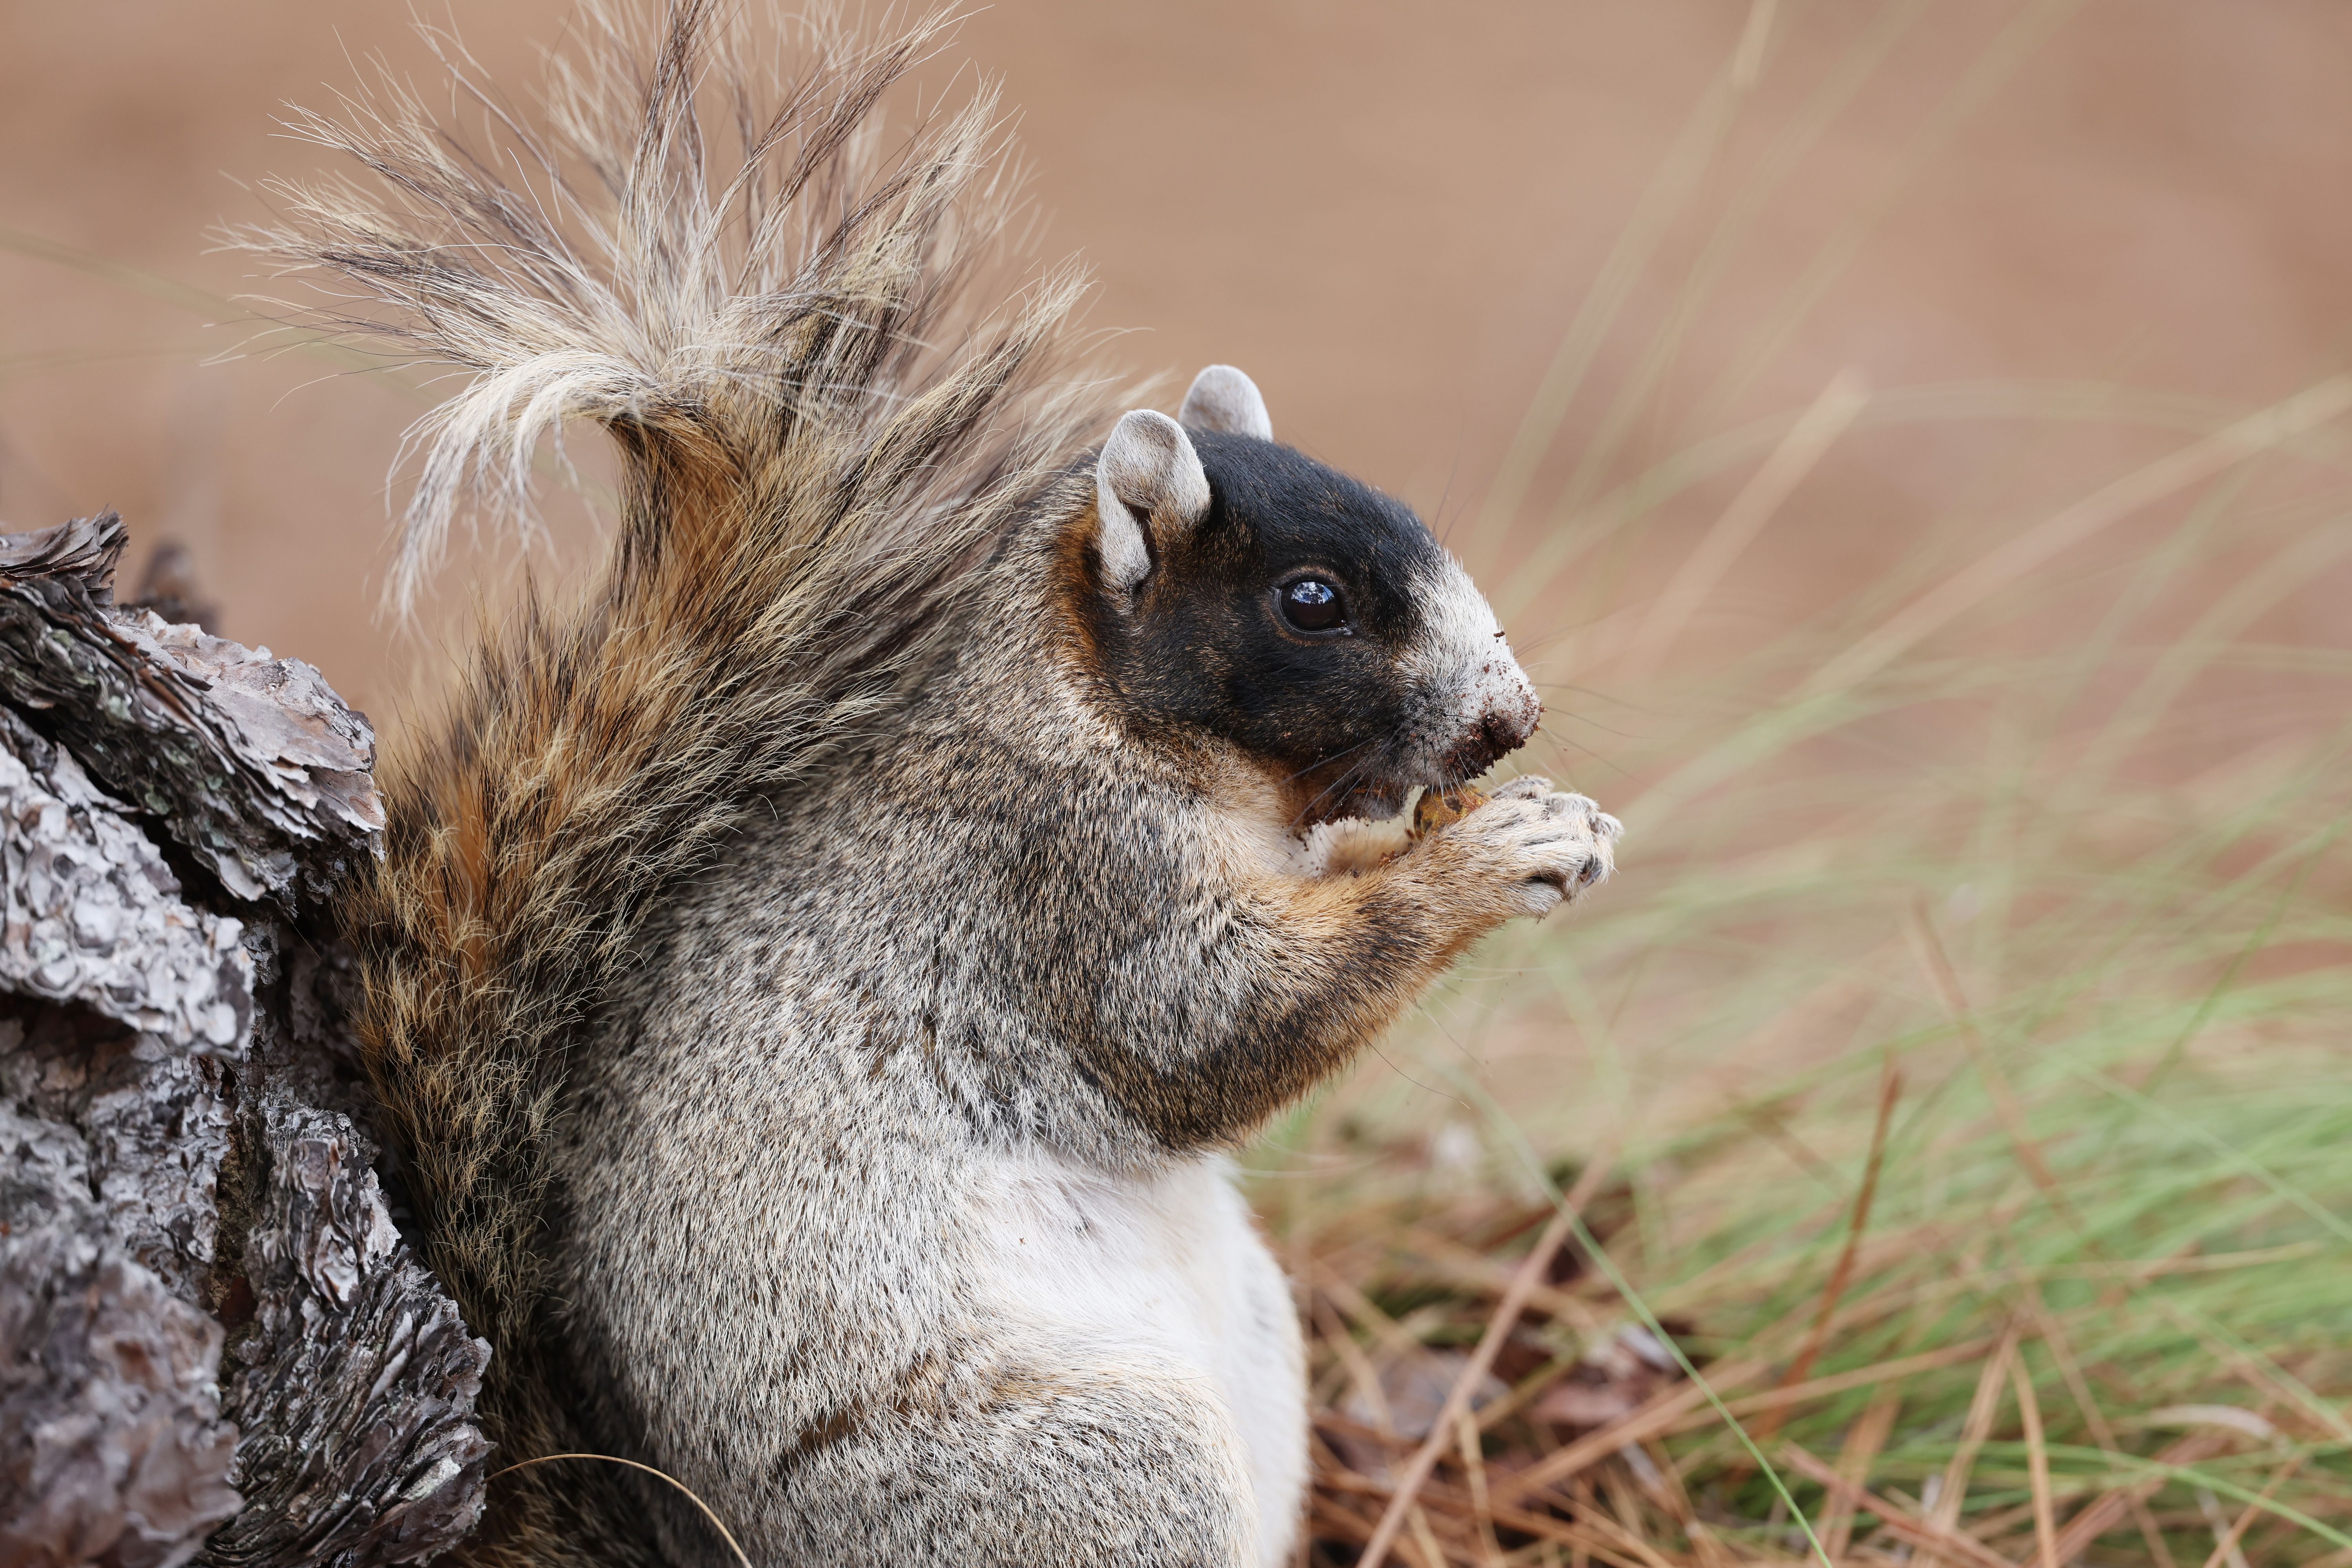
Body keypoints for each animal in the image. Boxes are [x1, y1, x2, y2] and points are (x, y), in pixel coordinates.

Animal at [242, 5, 1621, 1565]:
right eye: (1312, 601)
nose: (1508, 721)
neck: (1103, 718)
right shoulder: (1065, 874)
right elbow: (1205, 1023)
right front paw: (1489, 856)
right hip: (1096, 1470)